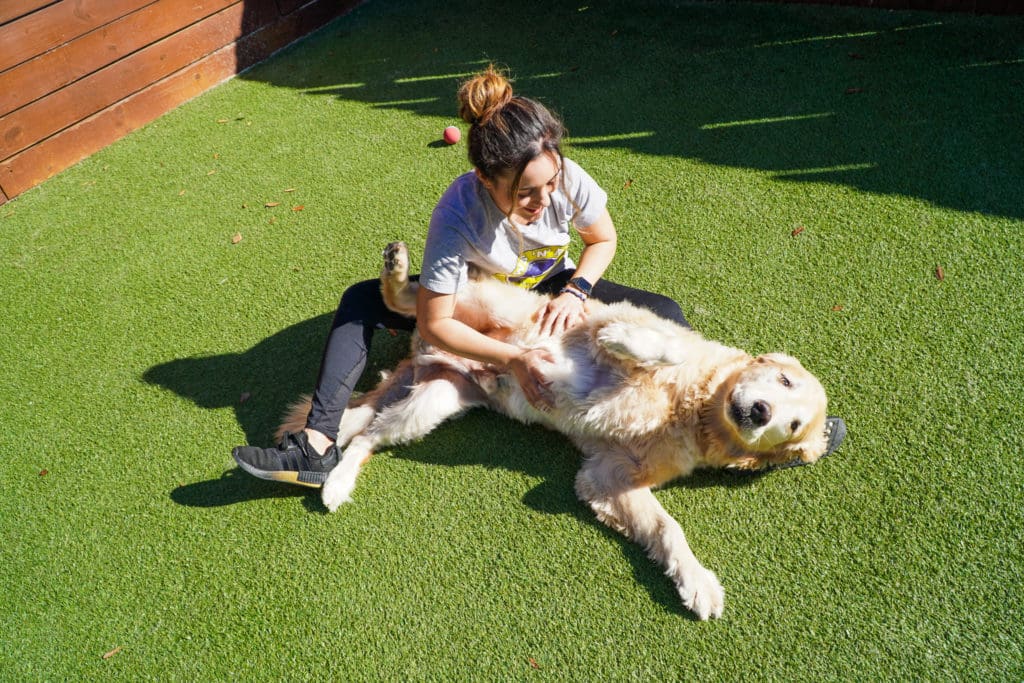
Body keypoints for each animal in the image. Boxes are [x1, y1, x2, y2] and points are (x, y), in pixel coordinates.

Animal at [280, 242, 831, 622]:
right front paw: (630, 343)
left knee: (367, 435)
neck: (689, 407)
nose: (760, 412)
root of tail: (423, 351)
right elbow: (660, 345)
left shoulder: (606, 477)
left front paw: (696, 582)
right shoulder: (613, 323)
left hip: (433, 401)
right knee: (410, 302)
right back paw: (396, 268)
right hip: (491, 305)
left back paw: (337, 482)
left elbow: (666, 528)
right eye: (783, 381)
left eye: (792, 424)